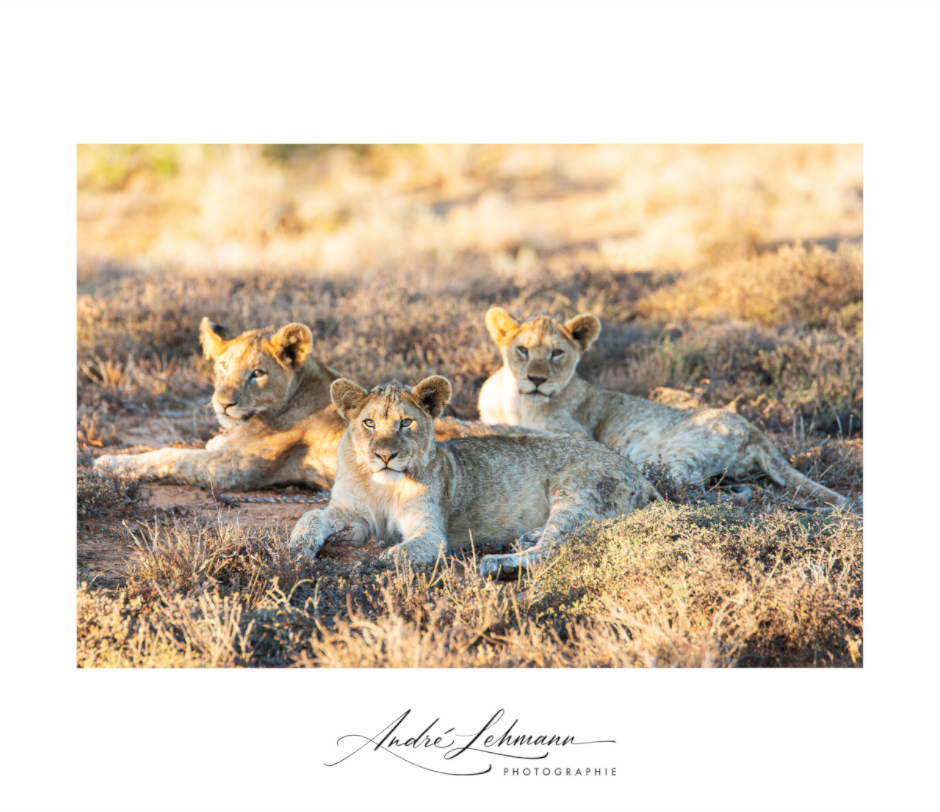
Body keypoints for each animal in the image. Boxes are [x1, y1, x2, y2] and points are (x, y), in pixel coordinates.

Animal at [93, 318, 525, 492]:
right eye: (223, 366)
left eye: (257, 374)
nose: (223, 403)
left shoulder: (231, 470)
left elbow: (168, 456)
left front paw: (108, 462)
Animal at [287, 376, 660, 579]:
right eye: (369, 423)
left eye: (405, 422)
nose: (385, 456)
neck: (381, 486)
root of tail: (641, 476)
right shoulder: (355, 517)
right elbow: (311, 516)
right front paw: (294, 551)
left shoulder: (430, 532)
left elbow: (399, 553)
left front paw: (378, 564)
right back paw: (527, 537)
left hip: (574, 489)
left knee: (554, 547)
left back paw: (500, 563)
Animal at [478, 308, 849, 508]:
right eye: (523, 350)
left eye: (557, 353)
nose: (536, 379)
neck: (517, 401)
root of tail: (756, 430)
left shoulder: (572, 434)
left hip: (675, 451)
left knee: (684, 486)